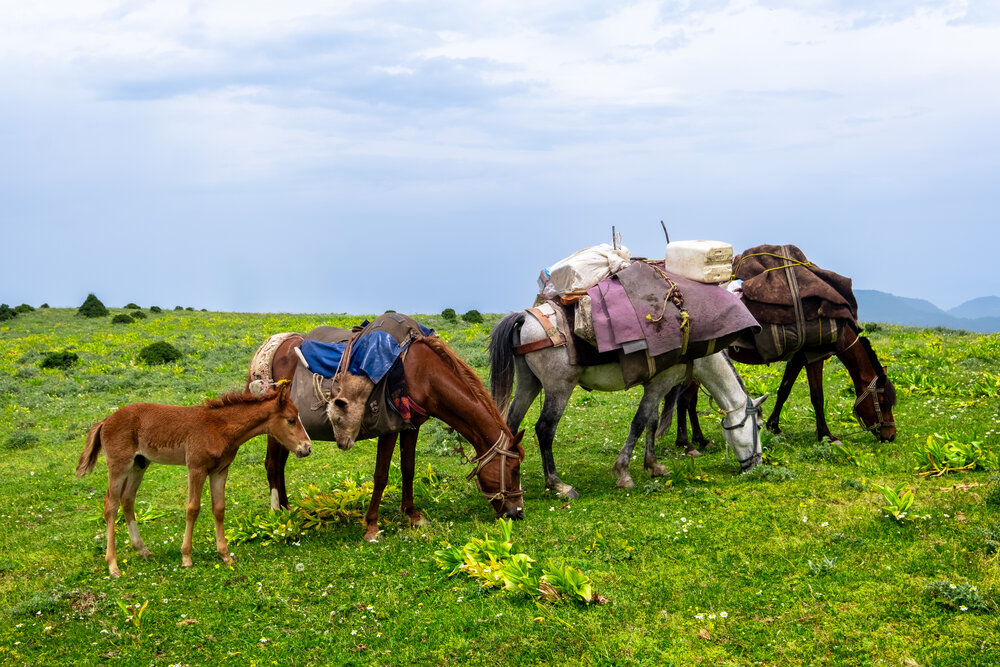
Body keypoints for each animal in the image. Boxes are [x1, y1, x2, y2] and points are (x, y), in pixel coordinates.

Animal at [75, 384, 312, 577]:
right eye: (291, 419)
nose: (307, 448)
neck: (219, 427)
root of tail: (105, 420)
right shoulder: (196, 468)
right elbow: (192, 508)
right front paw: (186, 558)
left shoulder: (220, 471)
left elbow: (219, 509)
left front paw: (225, 555)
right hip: (119, 466)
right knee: (111, 504)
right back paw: (113, 565)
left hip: (139, 465)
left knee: (127, 500)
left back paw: (143, 550)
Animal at [249, 321, 525, 542]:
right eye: (513, 469)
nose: (517, 512)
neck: (423, 375)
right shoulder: (389, 428)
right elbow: (381, 475)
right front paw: (371, 525)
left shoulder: (412, 425)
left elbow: (408, 468)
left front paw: (412, 514)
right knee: (272, 464)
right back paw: (278, 516)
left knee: (280, 464)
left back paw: (288, 510)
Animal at [489, 310, 768, 499]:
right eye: (759, 426)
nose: (757, 465)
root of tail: (526, 318)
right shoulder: (661, 383)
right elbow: (639, 423)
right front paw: (623, 473)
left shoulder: (655, 385)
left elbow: (652, 422)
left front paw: (653, 465)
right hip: (559, 388)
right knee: (545, 429)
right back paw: (558, 484)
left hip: (528, 384)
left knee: (510, 424)